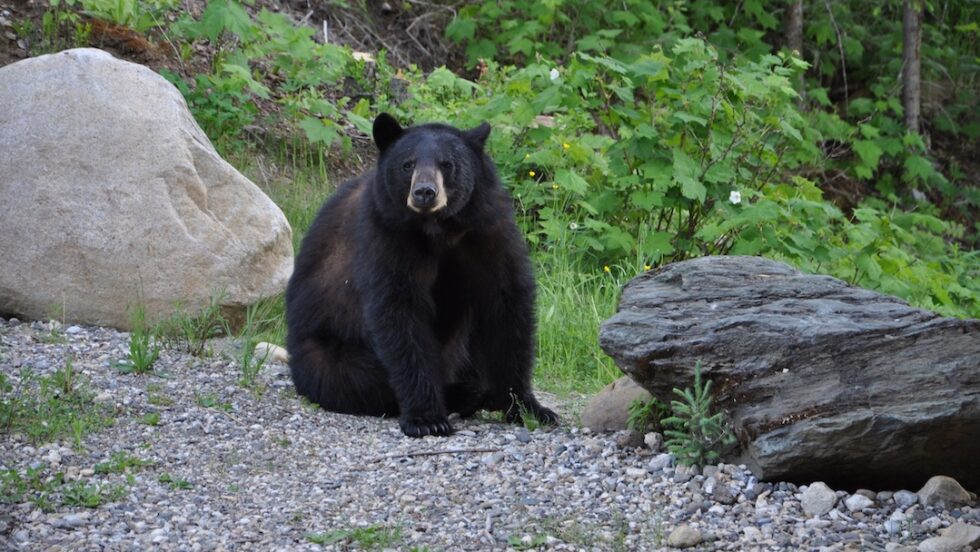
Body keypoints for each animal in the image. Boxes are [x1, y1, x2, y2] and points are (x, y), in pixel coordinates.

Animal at [286, 113, 560, 436]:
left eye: (447, 164)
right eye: (408, 164)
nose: (425, 192)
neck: (440, 229)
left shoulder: (486, 230)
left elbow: (507, 304)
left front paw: (530, 407)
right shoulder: (387, 234)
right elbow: (400, 313)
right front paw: (427, 418)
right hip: (324, 349)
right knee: (353, 376)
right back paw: (463, 394)